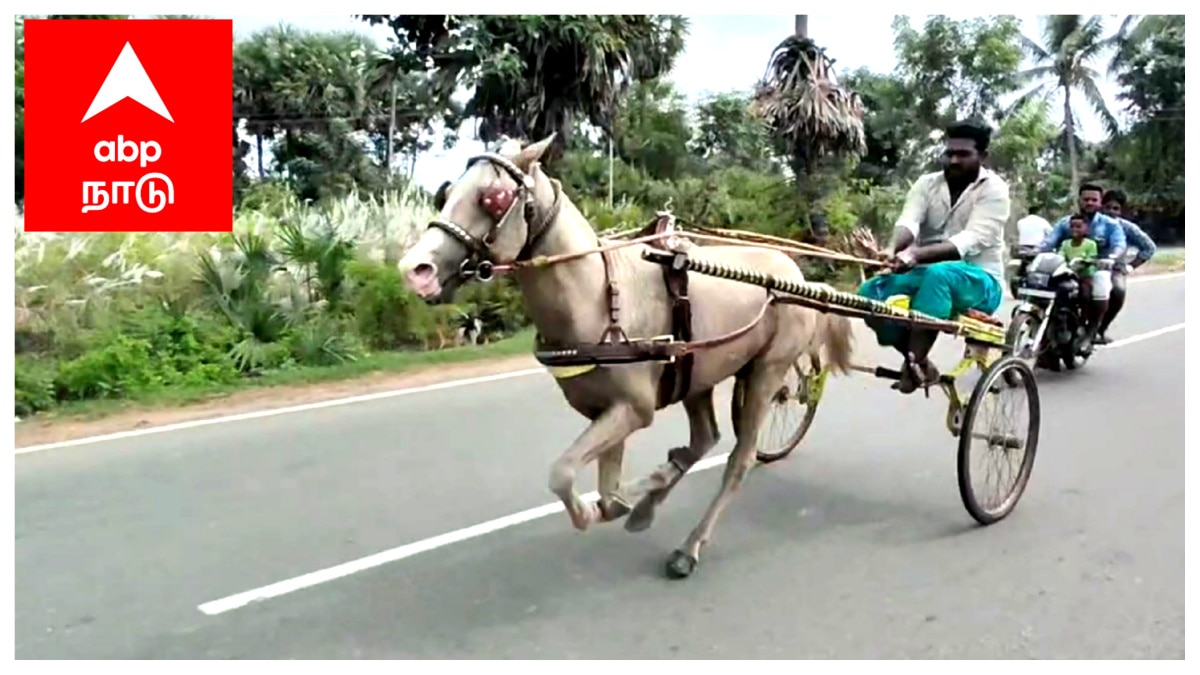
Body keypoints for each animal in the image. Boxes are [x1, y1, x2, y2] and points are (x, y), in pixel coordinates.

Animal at [393, 133, 854, 576]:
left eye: (491, 197)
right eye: (447, 191)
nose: (416, 270)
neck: (598, 294)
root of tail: (797, 274)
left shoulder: (632, 408)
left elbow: (564, 476)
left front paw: (635, 491)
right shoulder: (607, 410)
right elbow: (605, 491)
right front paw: (634, 499)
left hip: (768, 369)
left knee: (740, 458)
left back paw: (690, 546)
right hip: (697, 372)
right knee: (705, 437)